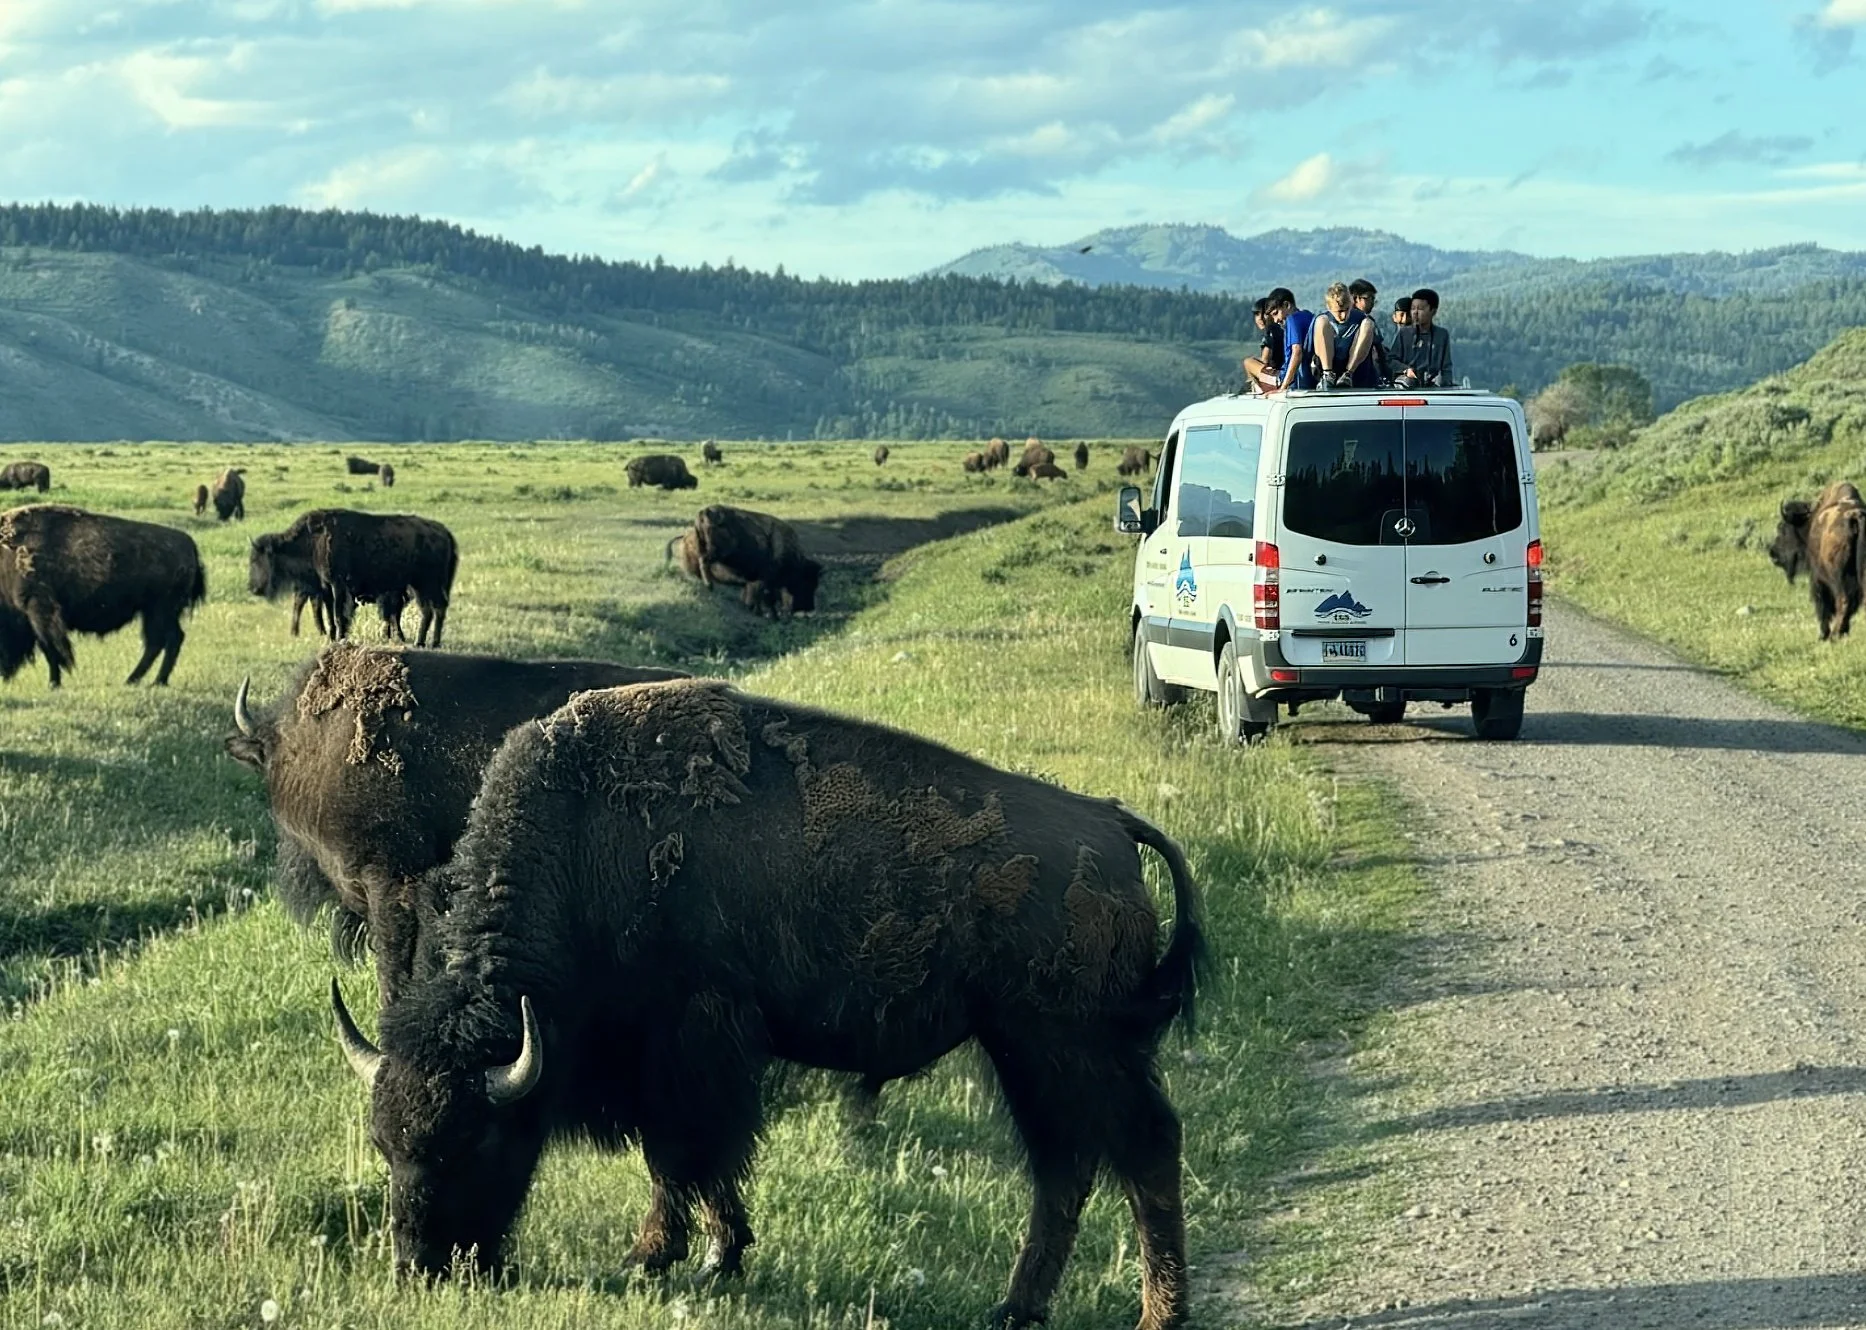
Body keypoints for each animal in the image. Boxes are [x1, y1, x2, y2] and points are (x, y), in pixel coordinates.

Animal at [0, 504, 206, 688]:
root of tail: (189, 544)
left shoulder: (38, 610)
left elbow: (51, 649)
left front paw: (54, 684)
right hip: (153, 612)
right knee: (159, 642)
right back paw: (135, 680)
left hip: (161, 610)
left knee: (168, 639)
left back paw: (155, 681)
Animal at [250, 509, 458, 648]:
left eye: (257, 559)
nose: (253, 588)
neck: (314, 540)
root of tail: (444, 532)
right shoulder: (327, 586)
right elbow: (331, 614)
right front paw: (332, 637)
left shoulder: (338, 584)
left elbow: (339, 614)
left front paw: (341, 638)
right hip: (418, 585)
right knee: (430, 610)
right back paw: (424, 642)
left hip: (426, 583)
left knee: (435, 608)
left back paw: (427, 643)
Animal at [330, 679, 1201, 1330]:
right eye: (385, 1145)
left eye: (473, 1142)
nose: (419, 1267)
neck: (582, 843)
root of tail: (1112, 824)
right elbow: (695, 1160)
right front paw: (709, 1254)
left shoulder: (689, 1048)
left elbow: (686, 1155)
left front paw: (667, 1257)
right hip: (1028, 1052)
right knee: (1068, 1166)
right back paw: (1017, 1308)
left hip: (1066, 1047)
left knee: (1140, 1152)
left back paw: (1154, 1314)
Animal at [1770, 481, 1866, 640]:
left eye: (1782, 528)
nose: (1773, 554)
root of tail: (1855, 517)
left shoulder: (1816, 579)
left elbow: (1822, 605)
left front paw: (1823, 635)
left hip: (1838, 579)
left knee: (1843, 601)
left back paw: (1834, 634)